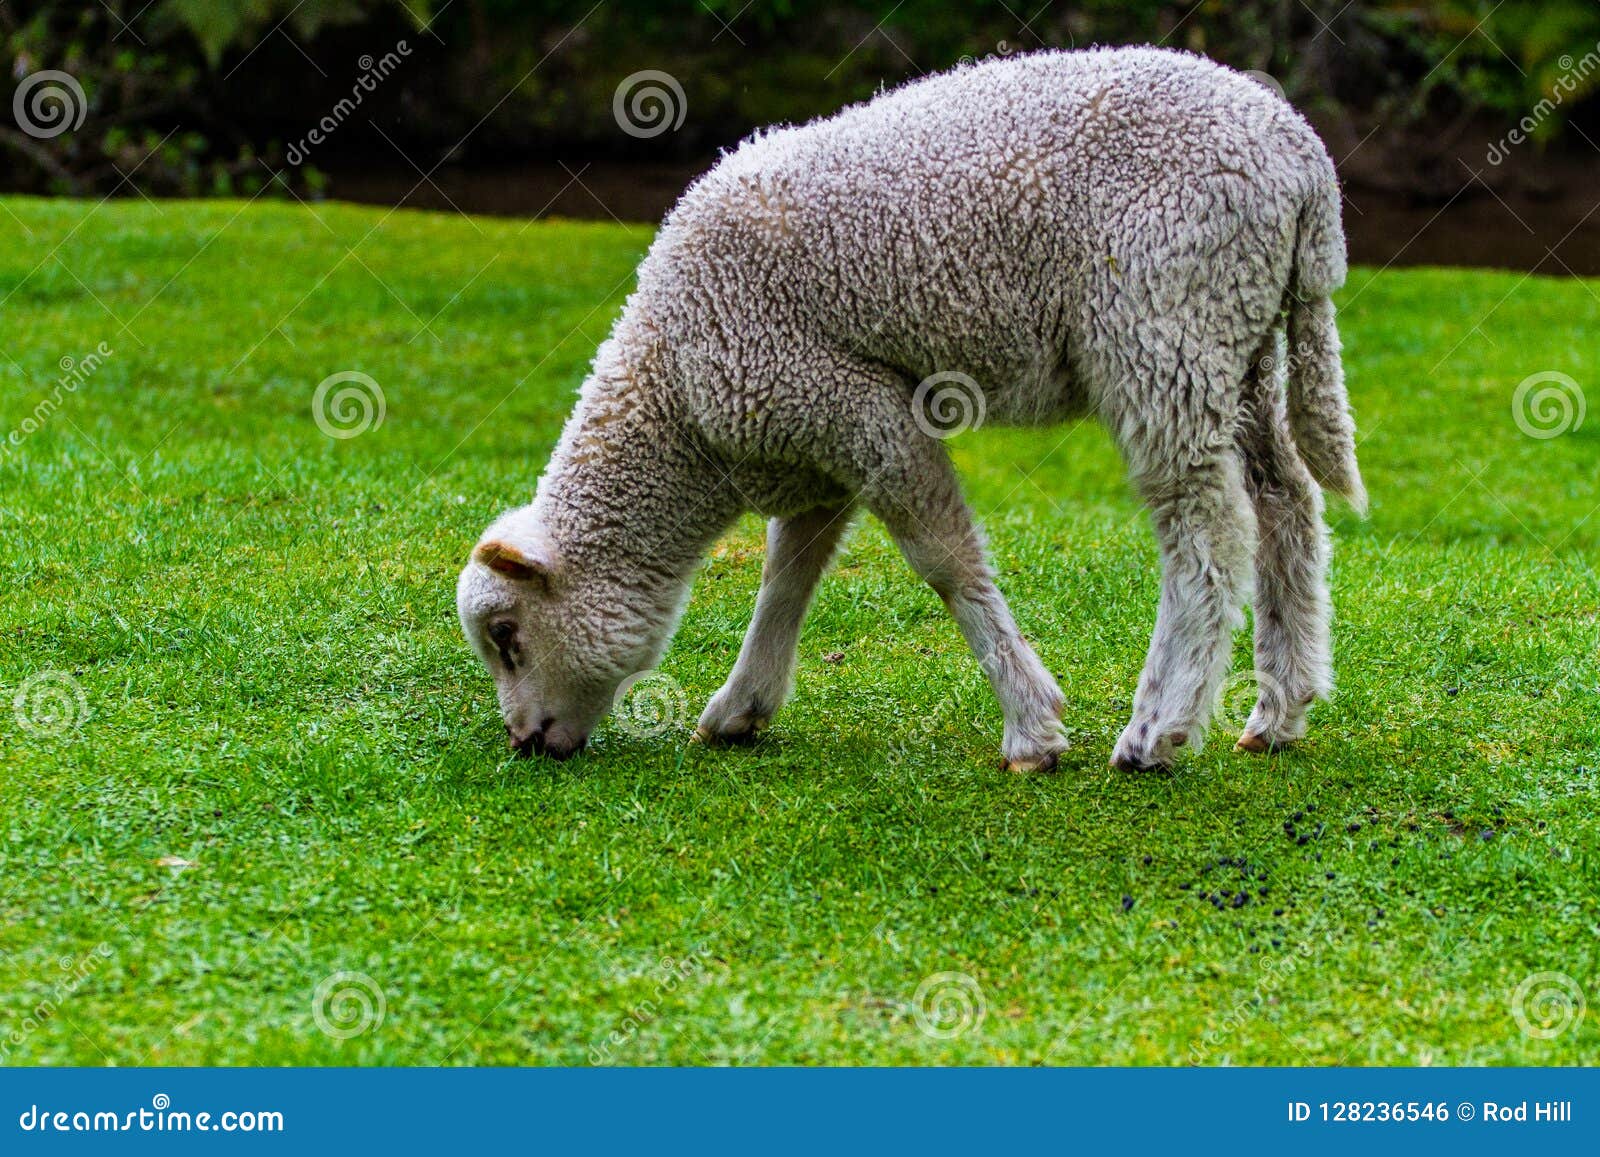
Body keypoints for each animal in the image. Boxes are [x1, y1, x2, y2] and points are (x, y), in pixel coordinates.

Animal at [456, 45, 1366, 772]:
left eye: (507, 637)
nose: (523, 742)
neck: (679, 398)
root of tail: (1302, 161)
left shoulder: (857, 407)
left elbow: (944, 560)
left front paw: (1032, 727)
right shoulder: (807, 435)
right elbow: (789, 575)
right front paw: (741, 705)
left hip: (1164, 322)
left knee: (1207, 529)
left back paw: (1159, 730)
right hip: (1239, 339)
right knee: (1285, 499)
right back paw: (1278, 708)